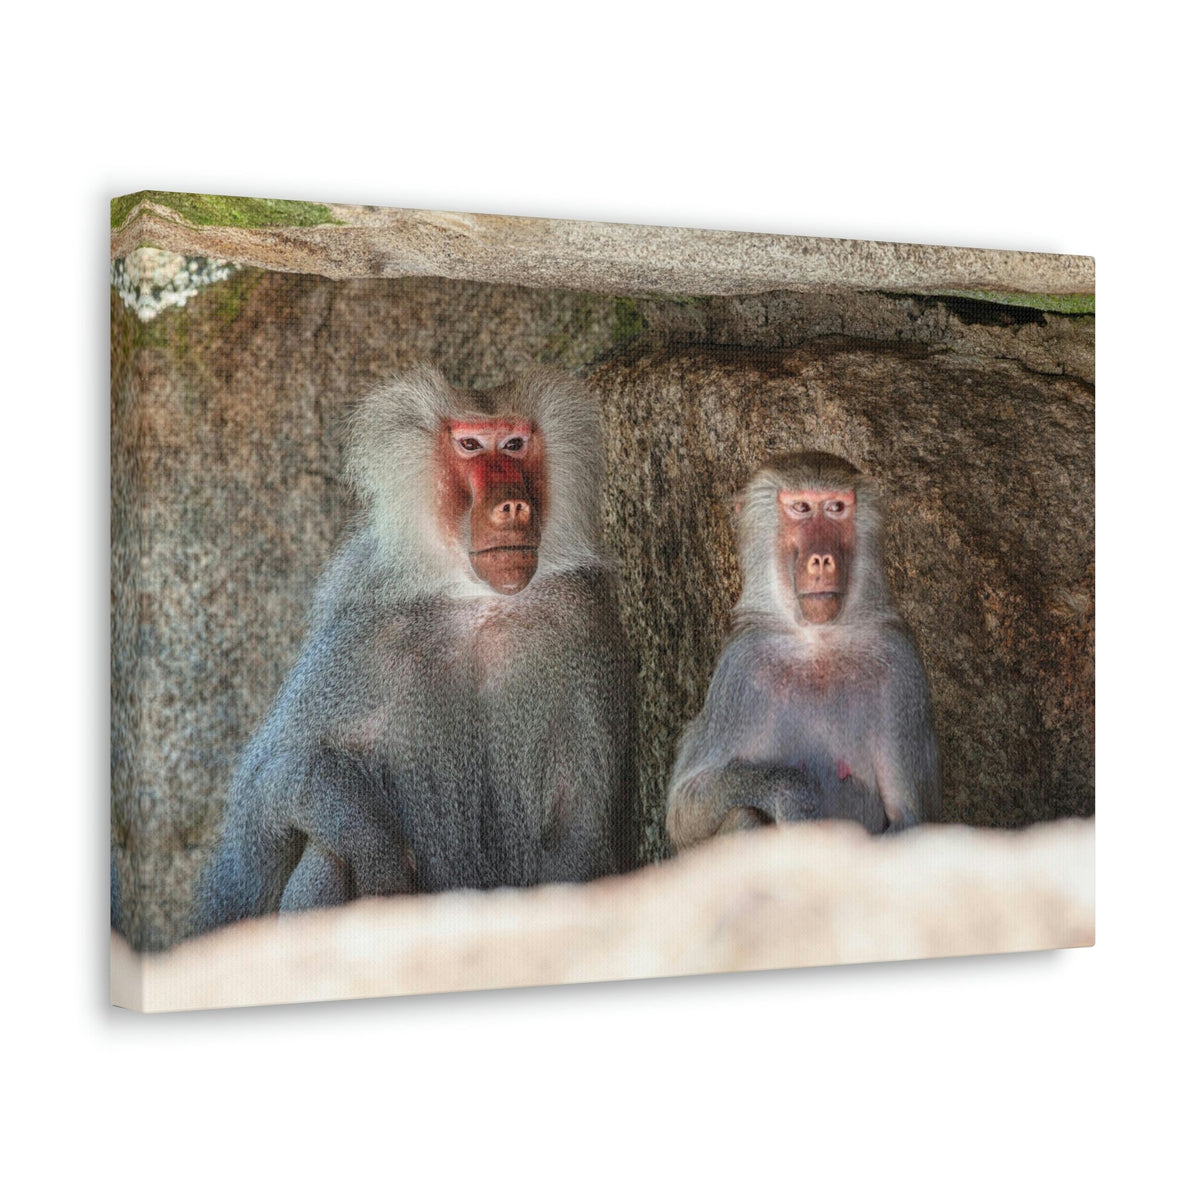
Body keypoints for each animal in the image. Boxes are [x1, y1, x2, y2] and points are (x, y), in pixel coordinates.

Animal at [191, 365, 636, 934]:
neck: (477, 599)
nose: (513, 505)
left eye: (515, 444)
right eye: (470, 445)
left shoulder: (582, 622)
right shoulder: (361, 628)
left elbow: (579, 823)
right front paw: (377, 852)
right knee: (325, 850)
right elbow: (266, 793)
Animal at [666, 451, 939, 850]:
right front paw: (793, 796)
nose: (823, 559)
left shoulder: (902, 667)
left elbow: (910, 819)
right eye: (801, 508)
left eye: (836, 507)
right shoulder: (741, 669)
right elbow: (684, 808)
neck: (818, 642)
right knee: (744, 814)